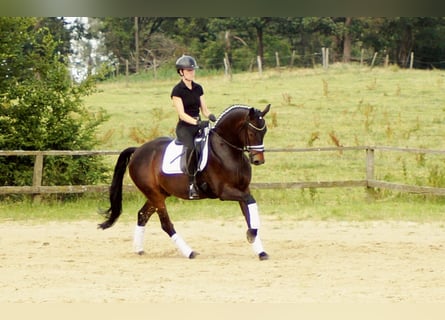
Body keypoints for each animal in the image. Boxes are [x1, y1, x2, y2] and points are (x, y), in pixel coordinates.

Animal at [98, 104, 268, 260]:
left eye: (264, 131)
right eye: (251, 132)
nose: (258, 160)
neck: (227, 150)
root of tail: (138, 150)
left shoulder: (243, 189)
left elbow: (249, 214)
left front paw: (259, 249)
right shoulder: (224, 192)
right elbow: (250, 202)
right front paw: (252, 234)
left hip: (158, 194)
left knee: (142, 215)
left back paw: (139, 249)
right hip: (154, 194)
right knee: (166, 224)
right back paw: (189, 252)